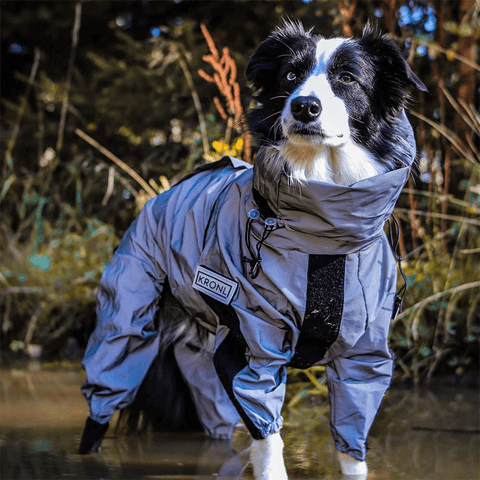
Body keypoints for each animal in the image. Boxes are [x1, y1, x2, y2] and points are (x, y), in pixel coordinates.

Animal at [79, 19, 428, 480]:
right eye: (291, 75)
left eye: (348, 78)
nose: (304, 107)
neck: (325, 232)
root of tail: (161, 196)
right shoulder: (251, 345)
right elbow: (268, 438)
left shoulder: (364, 358)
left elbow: (353, 445)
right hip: (128, 316)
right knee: (105, 391)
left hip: (201, 357)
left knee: (213, 415)